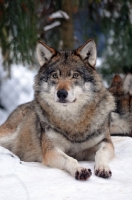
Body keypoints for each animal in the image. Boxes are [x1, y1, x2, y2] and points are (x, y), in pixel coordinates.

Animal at [0, 39, 115, 180]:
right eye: (55, 76)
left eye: (75, 75)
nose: (61, 93)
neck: (73, 121)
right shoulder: (51, 150)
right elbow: (70, 159)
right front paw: (80, 169)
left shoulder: (106, 142)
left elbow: (101, 153)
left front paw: (103, 168)